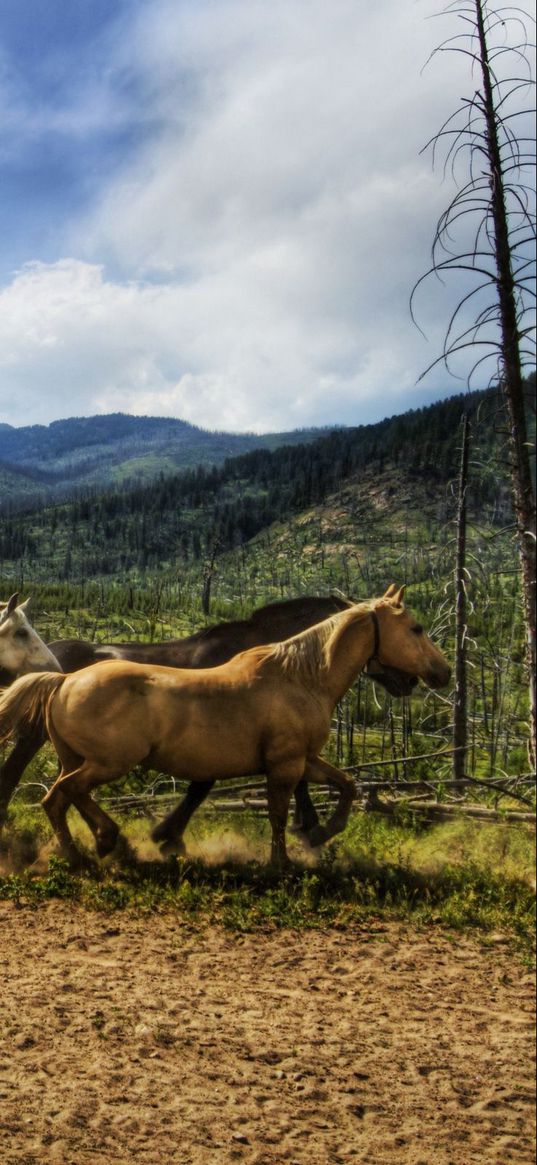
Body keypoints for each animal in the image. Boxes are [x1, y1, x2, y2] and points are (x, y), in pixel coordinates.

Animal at [0, 587, 447, 871]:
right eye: (416, 628)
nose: (441, 672)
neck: (299, 675)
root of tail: (62, 679)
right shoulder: (284, 762)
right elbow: (276, 809)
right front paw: (286, 857)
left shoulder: (302, 758)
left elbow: (346, 785)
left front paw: (320, 833)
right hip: (106, 762)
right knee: (56, 792)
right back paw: (94, 846)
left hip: (80, 759)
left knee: (63, 795)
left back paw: (97, 846)